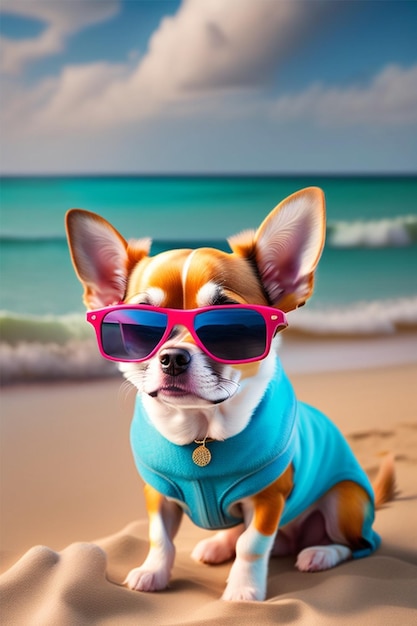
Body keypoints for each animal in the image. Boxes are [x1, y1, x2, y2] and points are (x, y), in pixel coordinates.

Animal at [66, 186, 394, 600]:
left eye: (230, 328)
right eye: (139, 326)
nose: (173, 357)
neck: (199, 431)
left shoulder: (269, 500)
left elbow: (252, 545)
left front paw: (243, 591)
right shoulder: (157, 495)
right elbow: (161, 538)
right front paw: (154, 571)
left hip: (345, 499)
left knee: (357, 544)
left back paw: (320, 553)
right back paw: (219, 545)